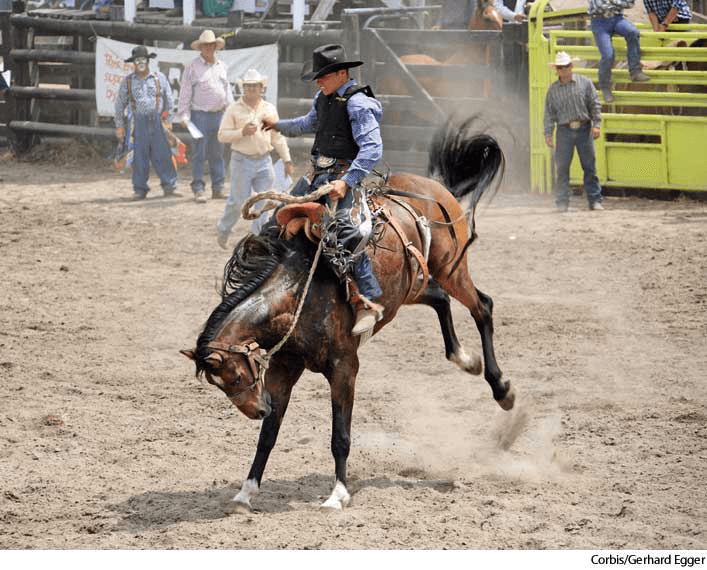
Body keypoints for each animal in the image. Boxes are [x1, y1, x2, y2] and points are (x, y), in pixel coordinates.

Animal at [181, 117, 515, 512]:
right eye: (219, 384)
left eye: (233, 376)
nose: (257, 409)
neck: (298, 294)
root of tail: (436, 187)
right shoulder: (282, 369)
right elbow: (269, 435)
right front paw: (246, 491)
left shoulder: (344, 367)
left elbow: (340, 435)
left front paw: (339, 491)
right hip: (411, 287)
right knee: (439, 300)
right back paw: (464, 359)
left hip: (452, 268)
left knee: (482, 307)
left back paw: (501, 388)